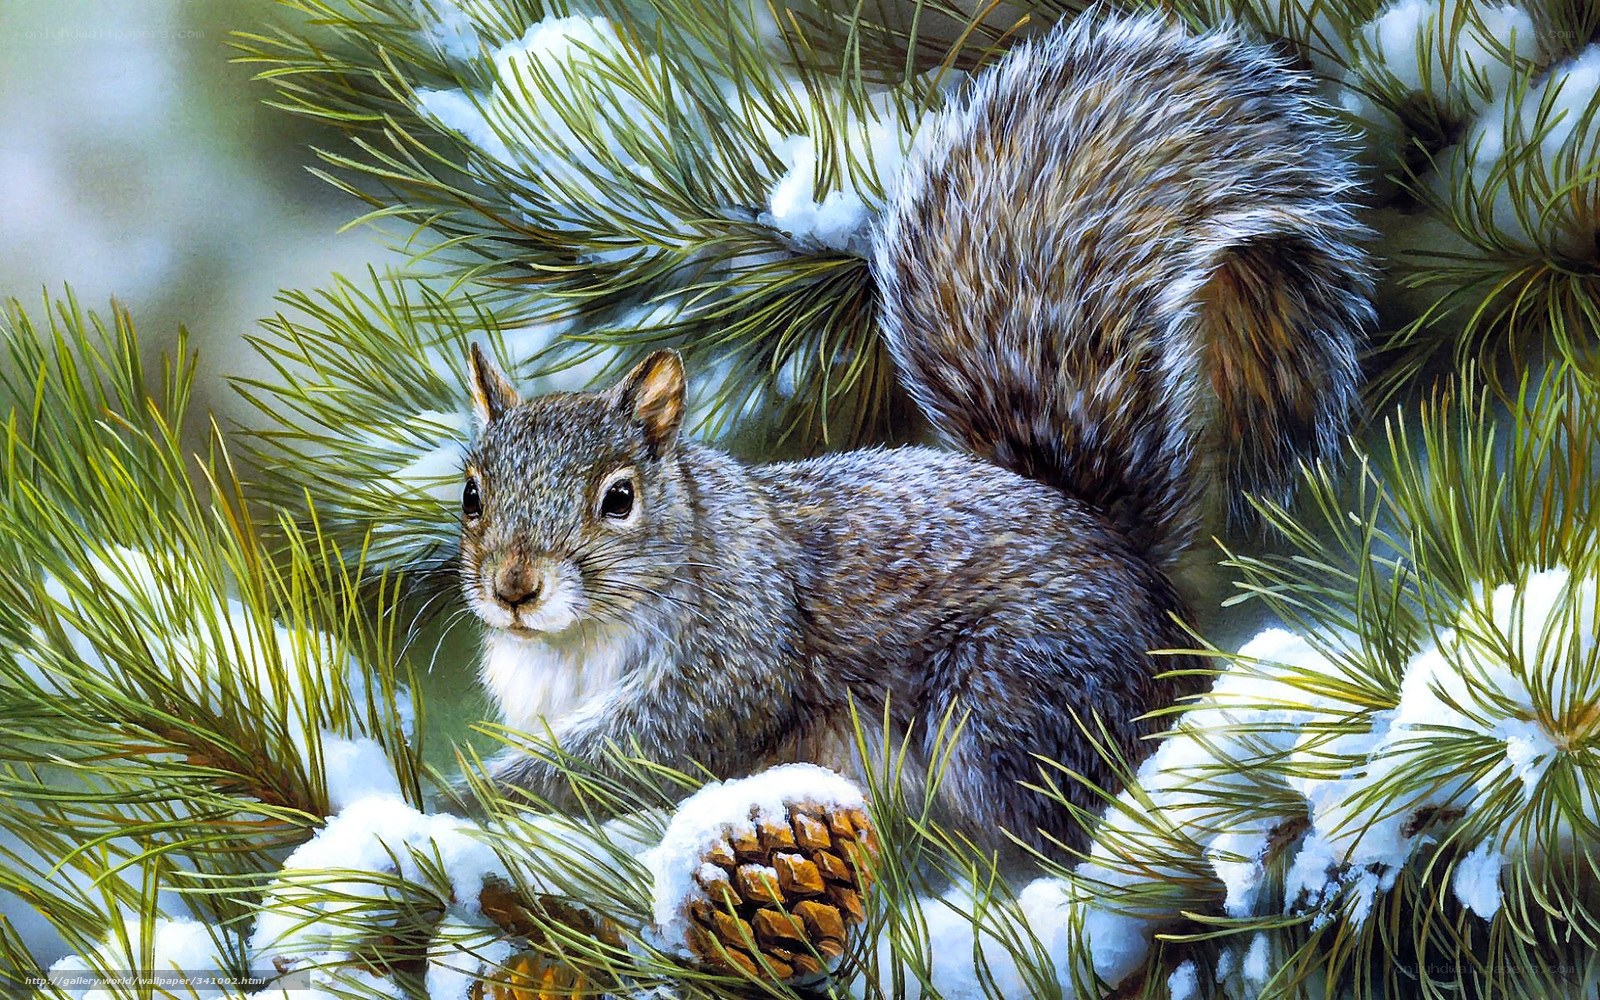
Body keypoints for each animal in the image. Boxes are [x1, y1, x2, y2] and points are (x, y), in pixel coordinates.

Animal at [458, 12, 1373, 859]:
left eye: (619, 498)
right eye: (471, 494)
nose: (514, 588)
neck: (573, 641)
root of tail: (1148, 591)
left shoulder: (737, 648)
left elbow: (643, 749)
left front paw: (481, 796)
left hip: (1013, 701)